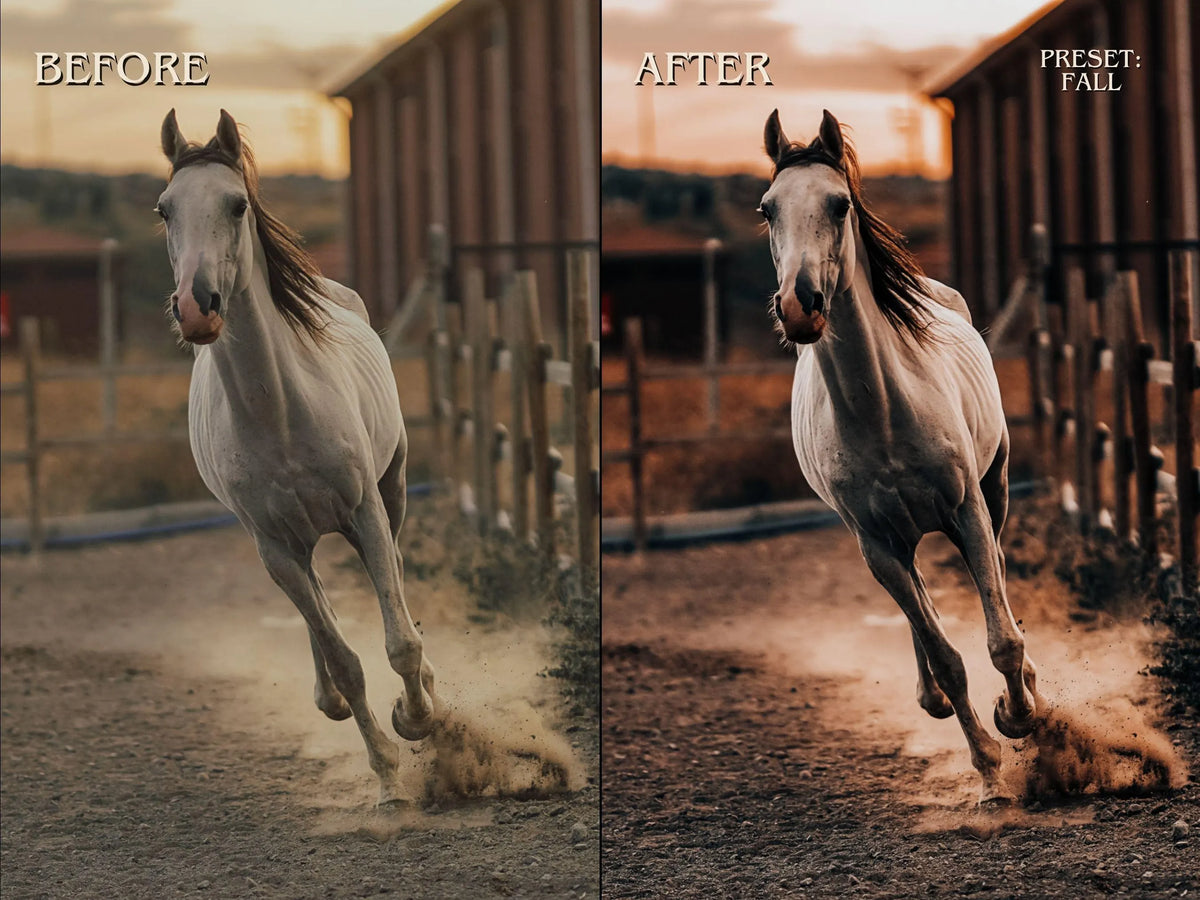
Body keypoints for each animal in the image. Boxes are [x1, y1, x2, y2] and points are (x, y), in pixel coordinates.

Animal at [157, 109, 437, 804]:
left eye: (236, 204)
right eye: (163, 209)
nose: (196, 307)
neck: (278, 411)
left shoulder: (364, 511)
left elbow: (398, 644)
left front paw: (416, 718)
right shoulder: (275, 548)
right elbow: (344, 656)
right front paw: (386, 768)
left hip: (391, 495)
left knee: (395, 585)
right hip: (297, 544)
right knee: (321, 610)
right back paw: (331, 697)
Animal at [760, 109, 1041, 804]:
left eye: (839, 204)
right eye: (767, 209)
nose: (799, 306)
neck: (883, 410)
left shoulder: (967, 512)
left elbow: (1000, 640)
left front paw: (1018, 715)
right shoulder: (877, 545)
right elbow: (945, 652)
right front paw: (988, 767)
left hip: (993, 493)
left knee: (998, 581)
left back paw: (1029, 690)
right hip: (898, 541)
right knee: (923, 608)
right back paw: (933, 697)